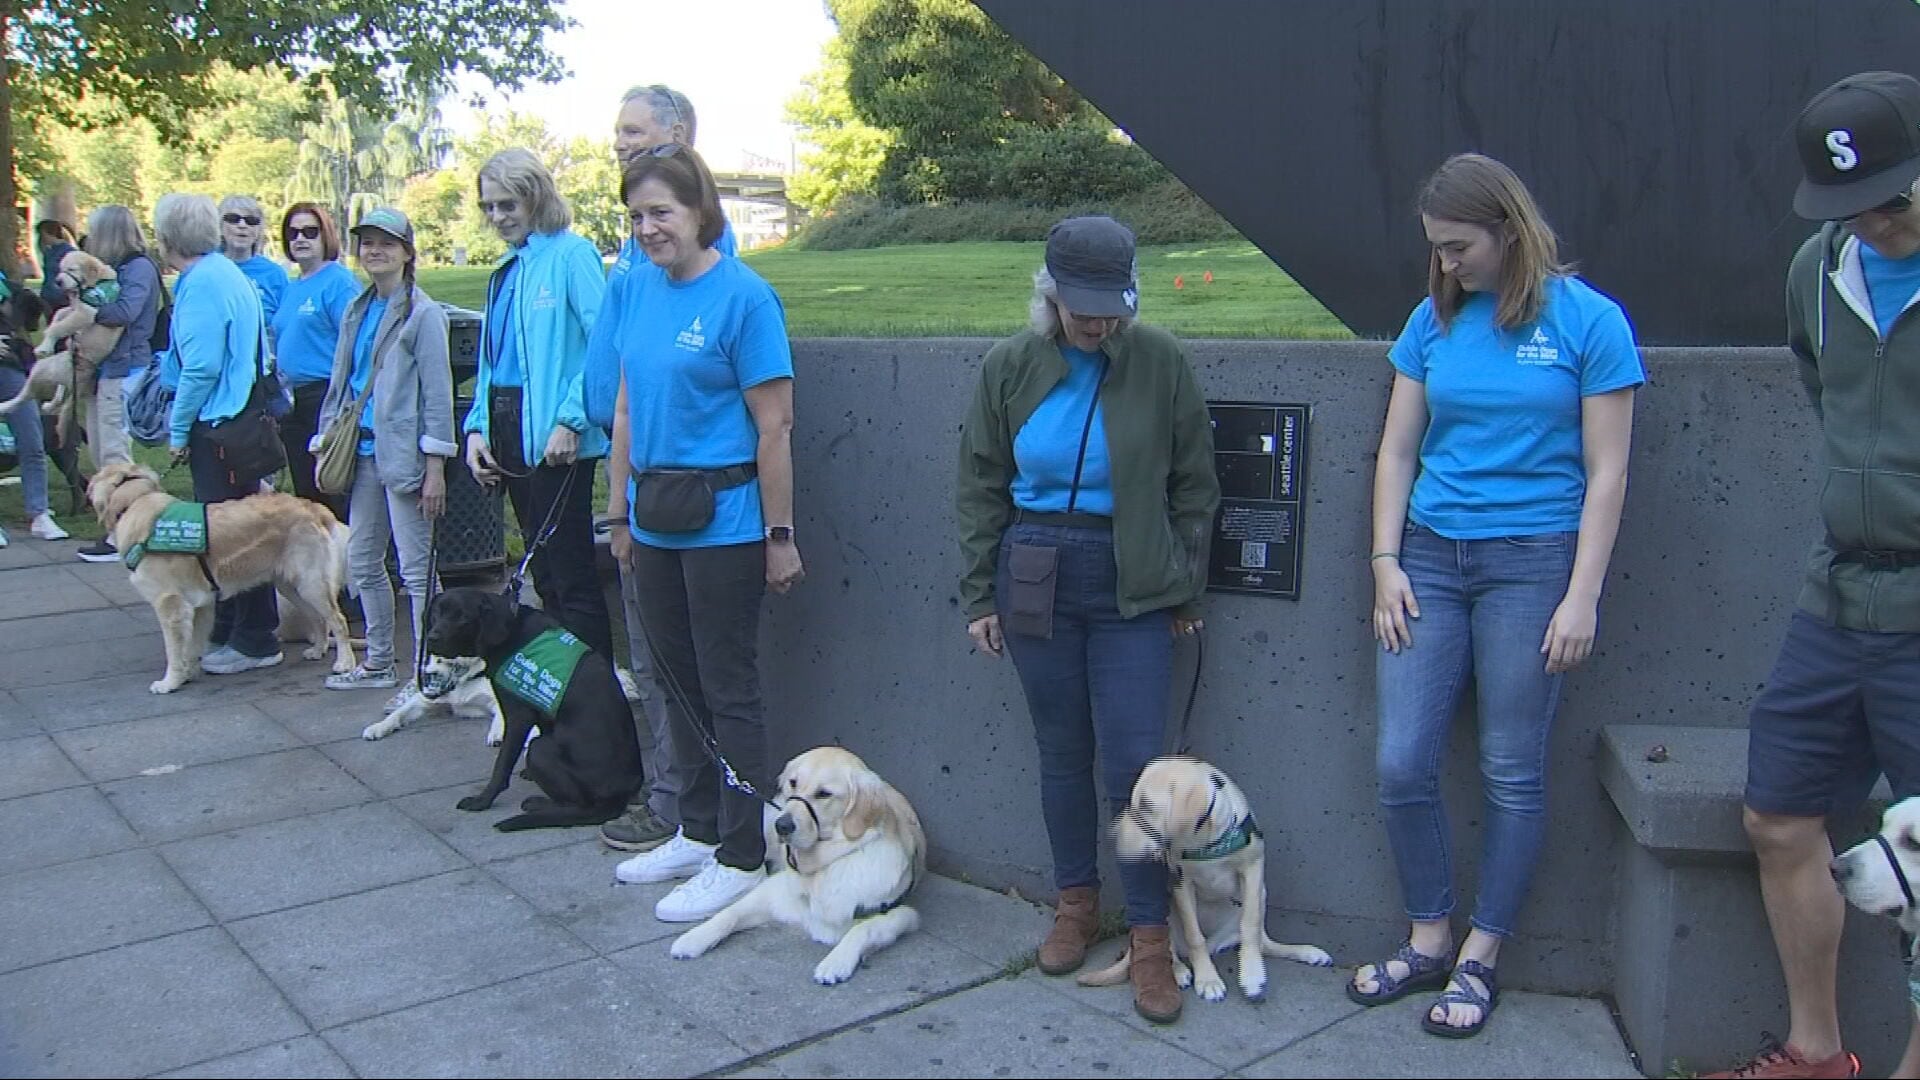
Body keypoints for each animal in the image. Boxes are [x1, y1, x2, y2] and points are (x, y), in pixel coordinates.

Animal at [426, 584, 648, 826]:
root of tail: (615, 800)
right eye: (436, 613)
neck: (511, 628)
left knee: (577, 804)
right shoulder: (540, 706)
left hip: (538, 750)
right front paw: (529, 775)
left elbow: (501, 765)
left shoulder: (517, 717)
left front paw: (482, 801)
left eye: (462, 617)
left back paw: (538, 804)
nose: (431, 637)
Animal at [672, 745, 925, 980]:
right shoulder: (773, 891)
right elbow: (729, 913)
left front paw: (836, 962)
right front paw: (693, 937)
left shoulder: (904, 914)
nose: (782, 826)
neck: (822, 866)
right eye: (793, 782)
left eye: (824, 794)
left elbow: (863, 929)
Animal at [1082, 753, 1336, 999]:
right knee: (1171, 946)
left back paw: (1305, 951)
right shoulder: (1181, 883)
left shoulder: (1253, 868)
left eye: (1145, 806)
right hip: (1166, 905)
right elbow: (1195, 936)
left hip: (1262, 892)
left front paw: (1252, 975)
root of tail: (1218, 942)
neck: (1205, 840)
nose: (1112, 837)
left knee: (1262, 942)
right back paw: (1179, 971)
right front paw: (1208, 979)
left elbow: (1251, 923)